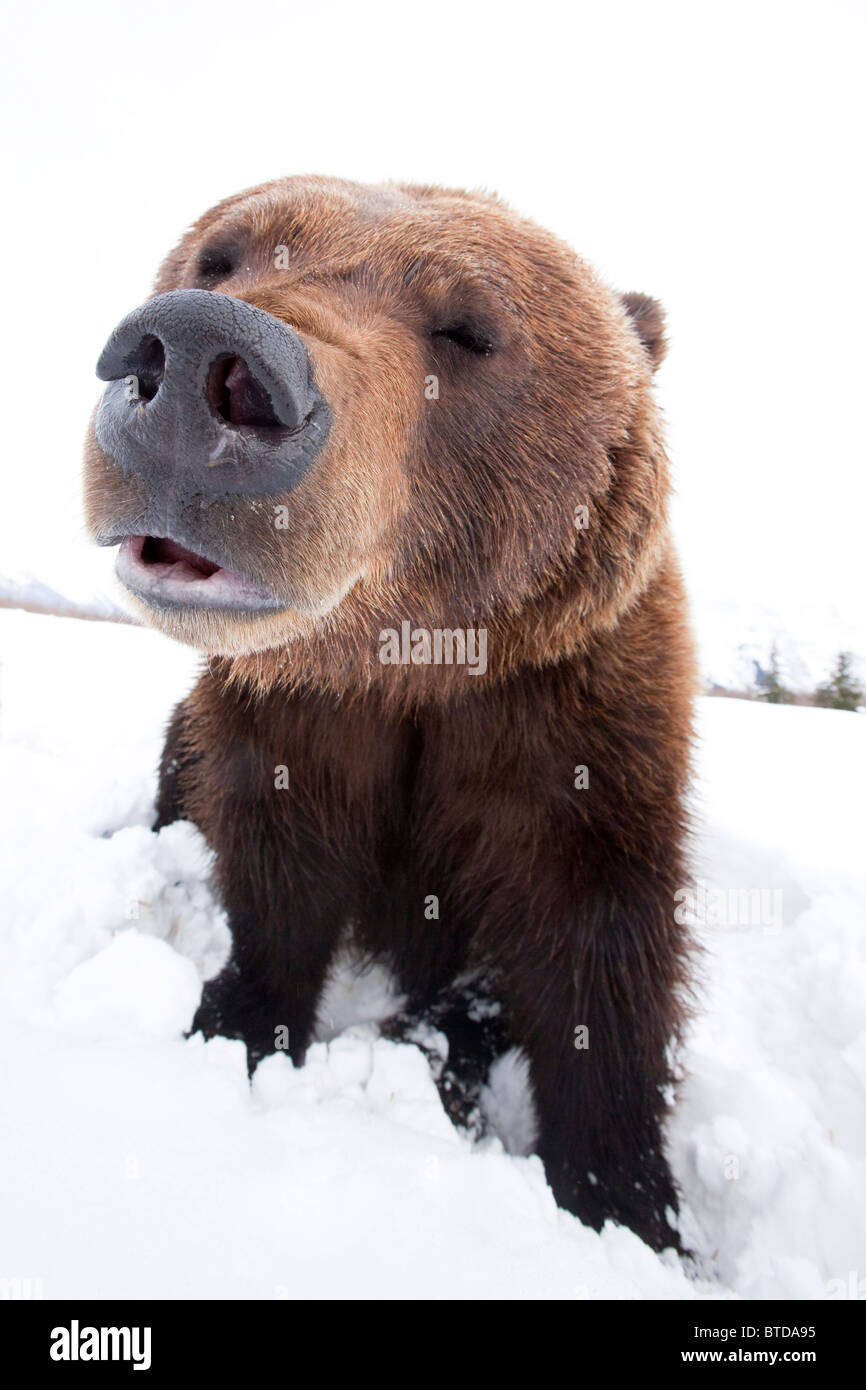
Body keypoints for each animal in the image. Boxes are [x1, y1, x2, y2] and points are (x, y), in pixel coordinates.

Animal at [83, 173, 697, 1251]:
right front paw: (238, 1019)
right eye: (220, 255)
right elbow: (279, 872)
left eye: (468, 328)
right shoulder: (299, 722)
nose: (199, 356)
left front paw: (624, 1203)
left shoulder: (571, 725)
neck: (406, 667)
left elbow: (600, 950)